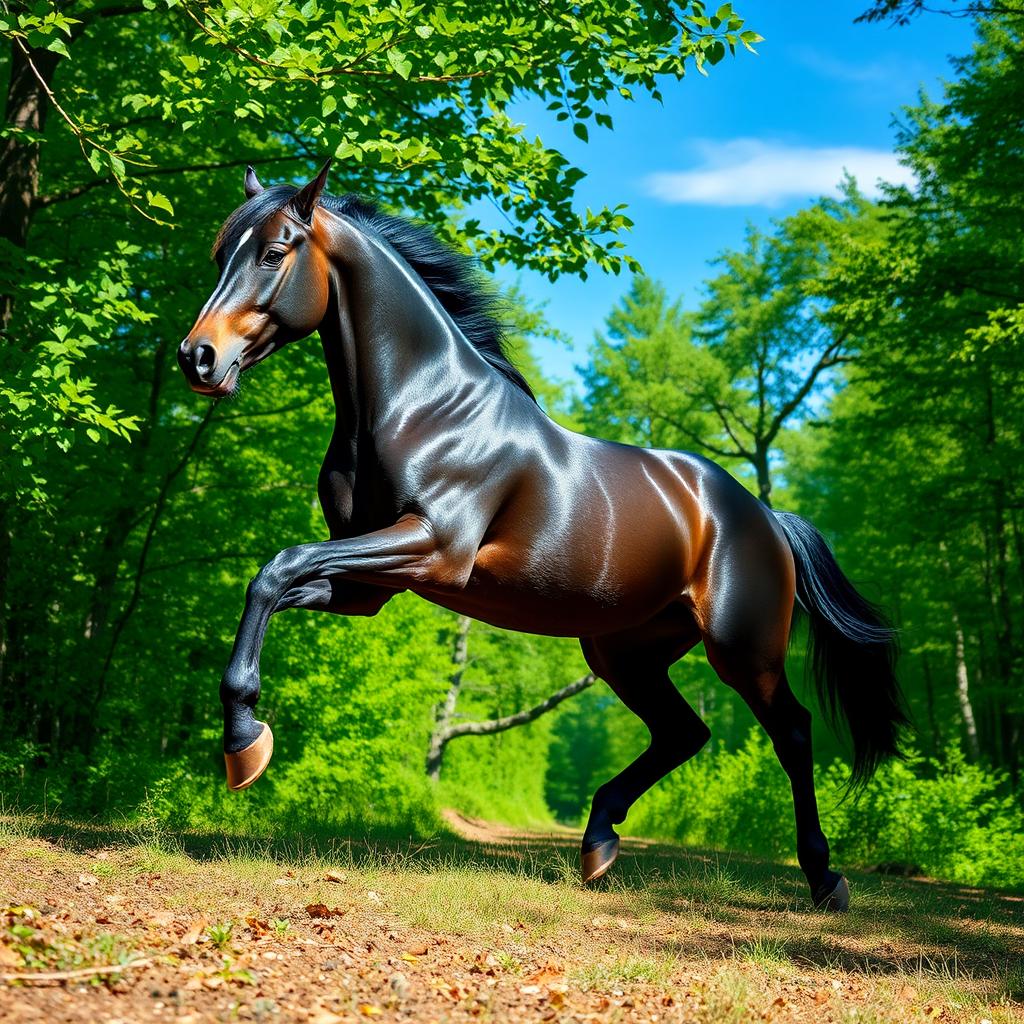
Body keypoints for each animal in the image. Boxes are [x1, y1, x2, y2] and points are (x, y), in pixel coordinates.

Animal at [178, 165, 905, 913]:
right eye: (220, 254)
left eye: (274, 252)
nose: (197, 358)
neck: (425, 408)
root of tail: (764, 515)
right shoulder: (364, 588)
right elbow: (271, 579)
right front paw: (244, 742)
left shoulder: (432, 548)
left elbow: (278, 567)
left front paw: (244, 743)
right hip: (626, 651)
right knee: (684, 731)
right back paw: (599, 842)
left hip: (743, 649)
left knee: (791, 731)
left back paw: (824, 877)